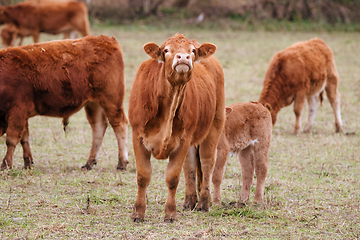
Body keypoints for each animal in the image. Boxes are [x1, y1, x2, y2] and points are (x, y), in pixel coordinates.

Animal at [0, 35, 129, 171]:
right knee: (98, 127)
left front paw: (6, 164)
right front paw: (27, 163)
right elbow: (24, 138)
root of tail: (105, 39)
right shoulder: (22, 115)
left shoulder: (17, 112)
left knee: (120, 125)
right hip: (93, 104)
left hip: (111, 101)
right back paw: (89, 163)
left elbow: (12, 139)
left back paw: (122, 163)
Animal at [129, 33, 225, 221]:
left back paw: (203, 203)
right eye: (166, 50)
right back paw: (189, 201)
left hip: (215, 124)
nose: (183, 57)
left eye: (192, 51)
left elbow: (172, 177)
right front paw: (138, 213)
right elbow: (143, 176)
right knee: (190, 165)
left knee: (207, 162)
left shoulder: (183, 140)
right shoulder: (137, 136)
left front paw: (170, 213)